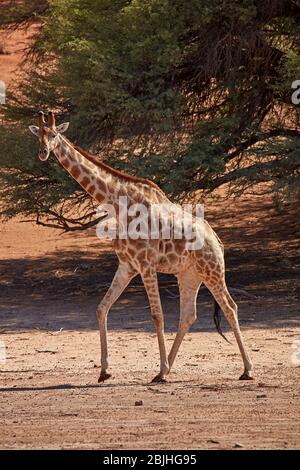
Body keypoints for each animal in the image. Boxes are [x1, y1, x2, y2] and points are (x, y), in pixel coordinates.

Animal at [29, 112, 253, 384]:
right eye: (38, 135)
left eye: (54, 135)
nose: (43, 152)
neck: (118, 203)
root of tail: (217, 240)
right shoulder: (127, 265)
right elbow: (101, 308)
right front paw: (105, 371)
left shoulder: (146, 265)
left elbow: (157, 316)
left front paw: (158, 367)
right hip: (189, 275)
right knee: (188, 315)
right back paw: (167, 370)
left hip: (212, 271)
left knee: (230, 307)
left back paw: (246, 369)